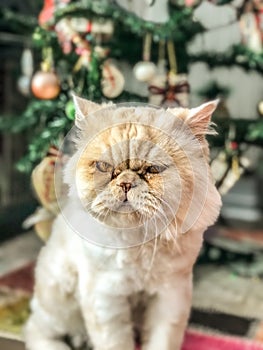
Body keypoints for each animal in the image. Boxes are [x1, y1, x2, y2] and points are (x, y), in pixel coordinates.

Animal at [24, 95, 223, 350]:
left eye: (153, 169)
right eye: (104, 167)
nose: (126, 183)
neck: (139, 242)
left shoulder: (171, 295)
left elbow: (162, 340)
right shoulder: (106, 299)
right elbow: (115, 342)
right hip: (59, 297)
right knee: (36, 330)